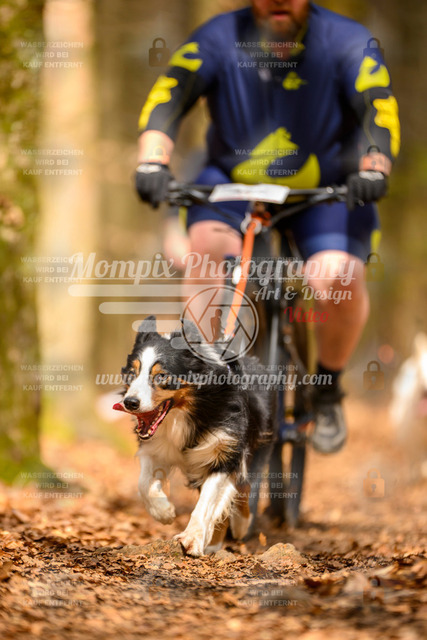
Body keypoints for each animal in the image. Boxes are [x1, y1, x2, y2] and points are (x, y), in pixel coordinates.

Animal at [113, 315, 274, 556]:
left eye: (161, 376)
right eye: (132, 374)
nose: (130, 402)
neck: (185, 413)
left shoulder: (225, 451)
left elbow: (207, 502)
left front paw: (192, 538)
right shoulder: (156, 447)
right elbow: (143, 484)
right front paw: (164, 511)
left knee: (243, 485)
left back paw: (239, 525)